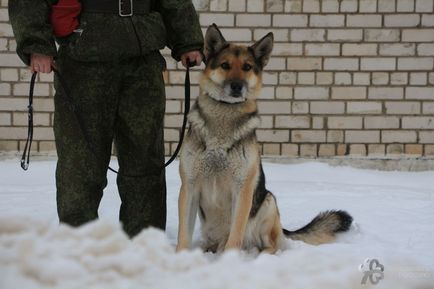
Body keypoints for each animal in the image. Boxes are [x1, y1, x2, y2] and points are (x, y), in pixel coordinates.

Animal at [175, 24, 350, 253]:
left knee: (270, 244)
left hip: (268, 201)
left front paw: (228, 260)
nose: (237, 86)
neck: (224, 116)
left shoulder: (242, 189)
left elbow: (235, 236)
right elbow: (183, 235)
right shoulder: (190, 187)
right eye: (225, 65)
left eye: (247, 67)